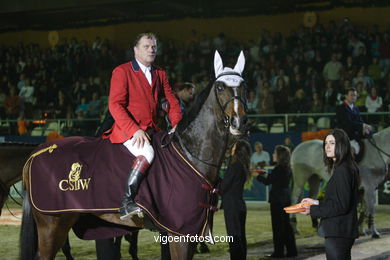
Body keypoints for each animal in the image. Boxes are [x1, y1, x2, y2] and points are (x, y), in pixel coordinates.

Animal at [19, 49, 248, 258]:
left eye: (243, 85)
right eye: (220, 87)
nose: (240, 122)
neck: (191, 154)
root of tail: (37, 153)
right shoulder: (179, 234)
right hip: (52, 225)